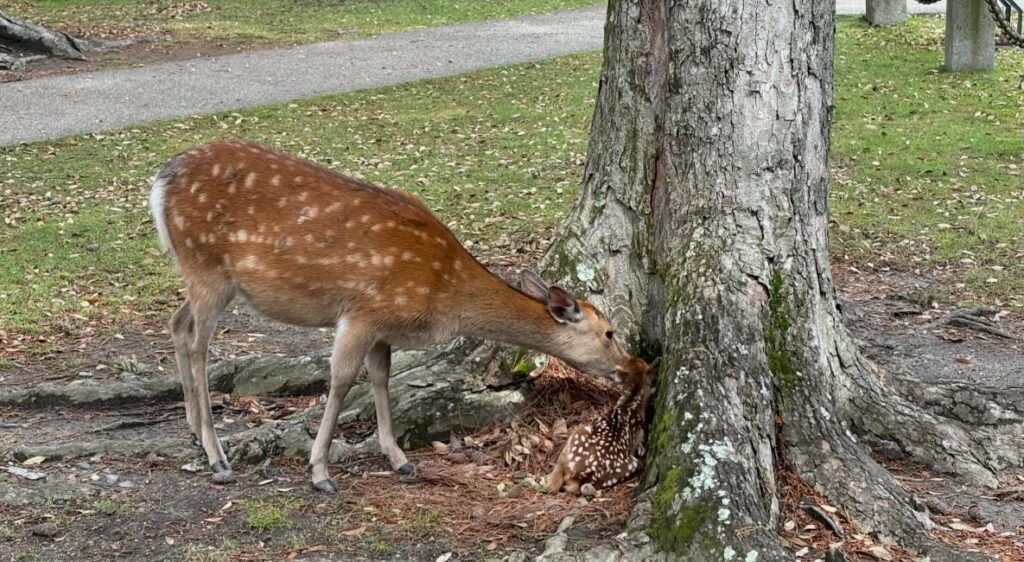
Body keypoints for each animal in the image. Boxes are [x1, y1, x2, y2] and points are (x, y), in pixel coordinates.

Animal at [149, 139, 630, 491]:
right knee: (200, 345)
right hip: (206, 265)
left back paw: (194, 430)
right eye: (609, 331)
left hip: (207, 275)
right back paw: (217, 455)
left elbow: (381, 376)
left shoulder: (383, 325)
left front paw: (398, 458)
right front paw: (320, 472)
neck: (441, 296)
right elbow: (342, 380)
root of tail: (159, 183)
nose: (631, 366)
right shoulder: (363, 311)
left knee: (177, 323)